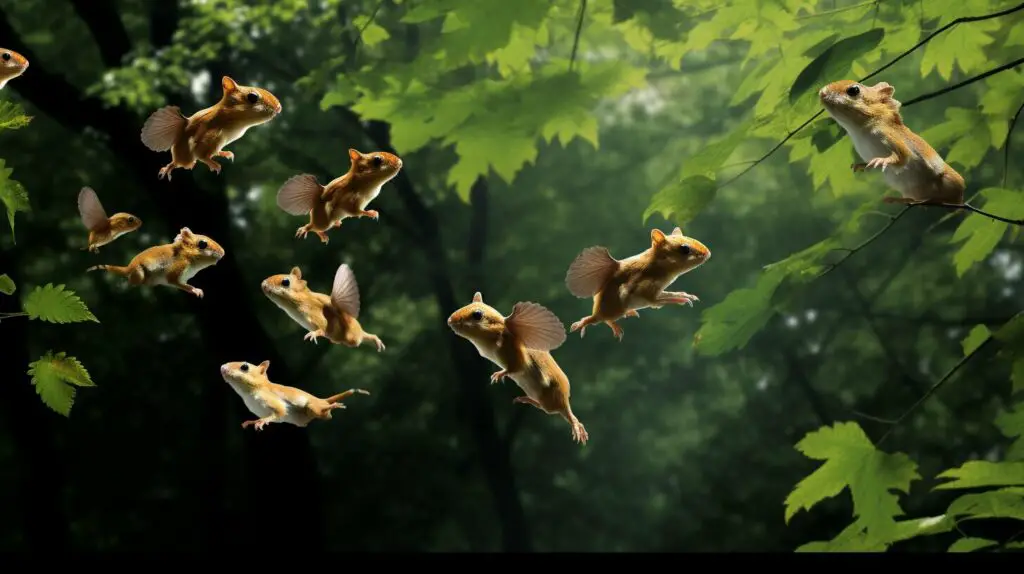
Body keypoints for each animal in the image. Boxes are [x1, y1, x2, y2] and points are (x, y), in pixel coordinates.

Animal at [86, 227, 224, 298]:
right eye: (203, 244)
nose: (223, 253)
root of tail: (128, 267)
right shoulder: (176, 271)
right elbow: (179, 284)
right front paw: (195, 290)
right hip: (139, 274)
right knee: (132, 282)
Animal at [140, 76, 282, 181]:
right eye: (253, 97)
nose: (279, 108)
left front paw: (226, 153)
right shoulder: (209, 134)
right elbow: (202, 155)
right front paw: (215, 164)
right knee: (187, 160)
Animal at [220, 359, 370, 431]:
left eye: (244, 367)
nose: (222, 367)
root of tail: (322, 401)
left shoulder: (273, 402)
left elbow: (278, 413)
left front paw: (262, 421)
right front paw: (252, 421)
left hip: (313, 407)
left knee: (326, 414)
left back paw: (333, 406)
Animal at [447, 291, 589, 445]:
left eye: (477, 314)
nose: (449, 320)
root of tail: (565, 402)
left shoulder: (518, 357)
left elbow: (513, 369)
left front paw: (498, 375)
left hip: (550, 399)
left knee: (567, 415)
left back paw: (576, 427)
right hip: (545, 401)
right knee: (549, 409)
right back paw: (525, 400)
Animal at [565, 227, 710, 341]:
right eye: (685, 249)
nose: (708, 253)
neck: (656, 265)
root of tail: (597, 312)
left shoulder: (658, 291)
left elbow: (667, 294)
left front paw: (684, 295)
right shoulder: (647, 292)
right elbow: (662, 301)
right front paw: (682, 299)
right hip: (615, 310)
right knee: (596, 319)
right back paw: (585, 323)